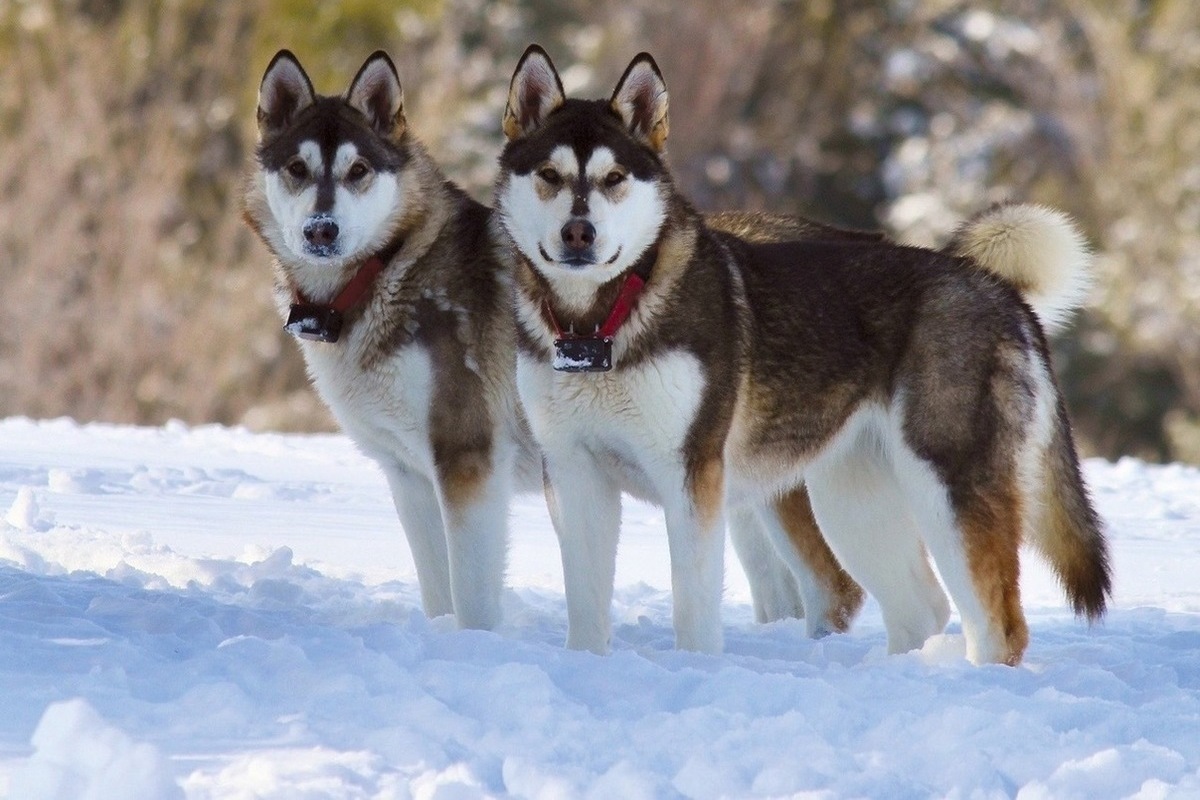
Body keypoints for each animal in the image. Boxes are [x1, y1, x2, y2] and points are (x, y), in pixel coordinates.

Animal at [494, 47, 1104, 666]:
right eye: (550, 175)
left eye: (614, 178)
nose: (579, 233)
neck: (600, 323)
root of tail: (997, 288)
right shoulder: (573, 472)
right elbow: (585, 606)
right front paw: (585, 665)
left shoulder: (690, 476)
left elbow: (693, 608)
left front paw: (694, 667)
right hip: (851, 500)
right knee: (920, 607)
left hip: (946, 488)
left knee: (998, 626)